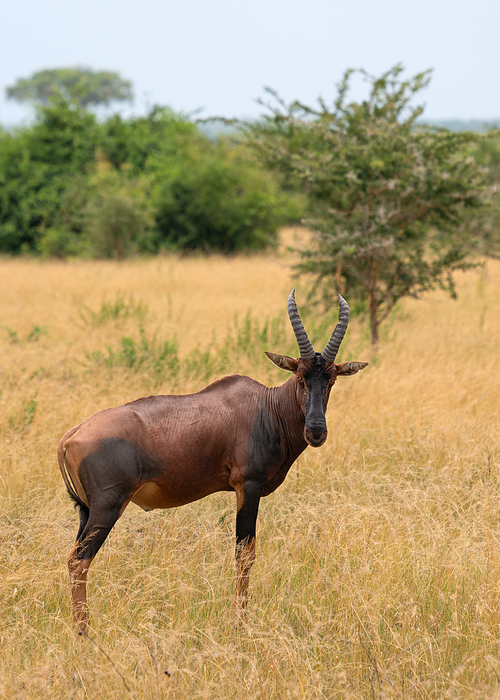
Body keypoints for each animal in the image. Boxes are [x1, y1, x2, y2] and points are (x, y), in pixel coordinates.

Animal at [59, 288, 368, 628]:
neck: (265, 406)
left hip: (86, 510)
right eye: (300, 377)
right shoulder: (248, 486)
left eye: (331, 380)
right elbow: (244, 554)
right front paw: (240, 624)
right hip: (107, 508)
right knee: (78, 561)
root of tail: (72, 436)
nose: (316, 432)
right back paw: (84, 631)